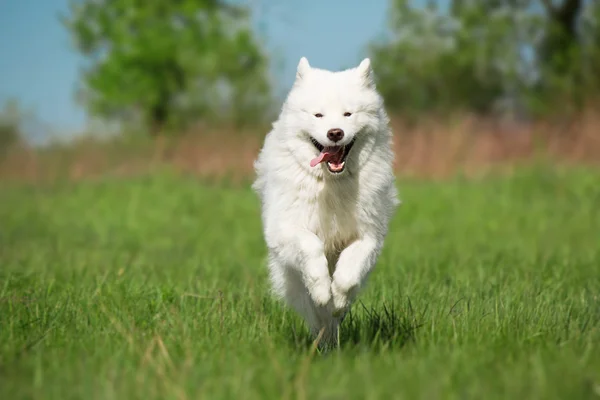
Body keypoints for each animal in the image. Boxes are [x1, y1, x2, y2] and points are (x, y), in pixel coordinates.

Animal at [251, 57, 400, 346]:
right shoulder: (286, 229)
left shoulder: (368, 235)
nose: (335, 133)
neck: (331, 184)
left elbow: (349, 271)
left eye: (348, 114)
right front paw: (322, 290)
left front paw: (338, 297)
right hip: (290, 276)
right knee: (312, 310)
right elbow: (311, 247)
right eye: (318, 115)